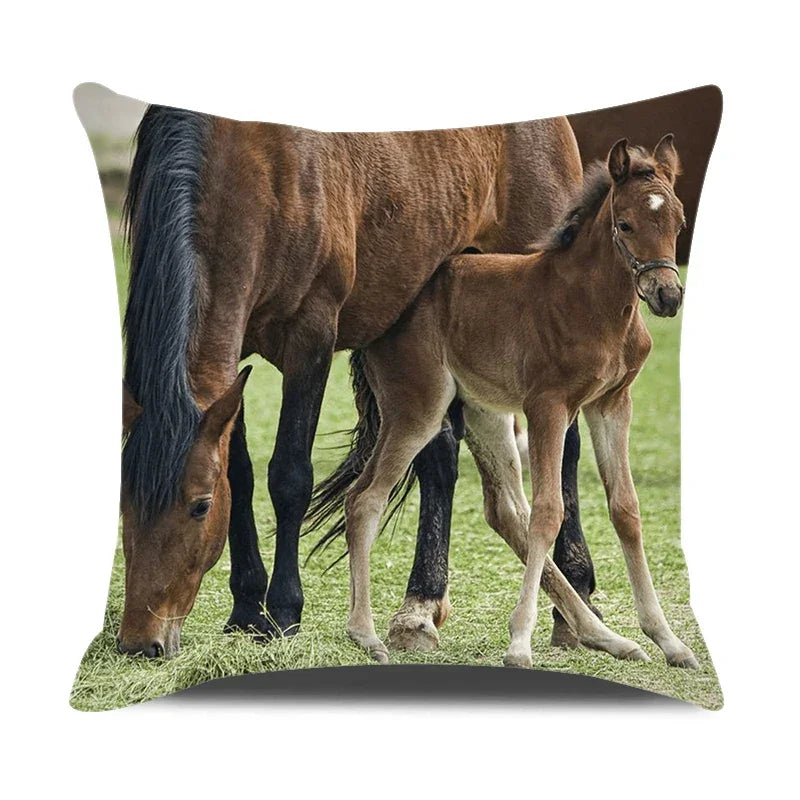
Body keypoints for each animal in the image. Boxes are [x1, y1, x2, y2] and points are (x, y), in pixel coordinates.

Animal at [117, 106, 607, 657]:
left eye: (199, 507)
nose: (141, 641)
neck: (253, 165)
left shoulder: (311, 338)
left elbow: (289, 476)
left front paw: (284, 610)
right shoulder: (230, 362)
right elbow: (239, 476)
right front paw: (246, 608)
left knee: (564, 451)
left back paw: (577, 600)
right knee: (440, 458)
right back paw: (420, 607)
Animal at [332, 136, 699, 669]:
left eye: (678, 222)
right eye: (626, 224)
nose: (667, 295)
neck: (591, 303)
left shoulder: (611, 403)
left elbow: (626, 511)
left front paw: (668, 640)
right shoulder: (548, 406)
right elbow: (549, 513)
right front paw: (519, 645)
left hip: (484, 410)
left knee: (506, 509)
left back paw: (608, 637)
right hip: (418, 407)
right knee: (364, 499)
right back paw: (366, 634)